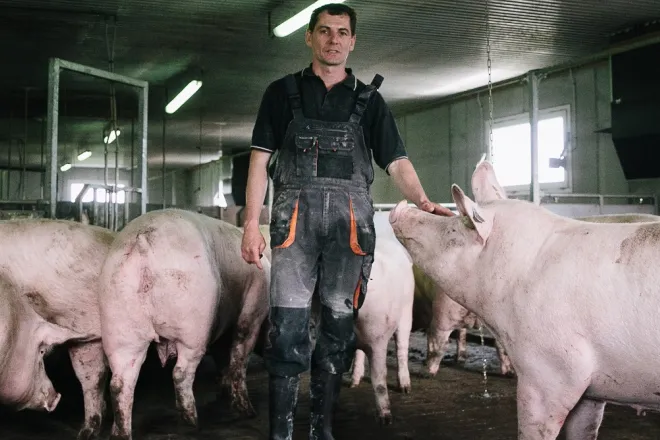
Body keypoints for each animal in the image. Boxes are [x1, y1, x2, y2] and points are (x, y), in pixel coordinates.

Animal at [98, 208, 270, 440]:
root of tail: (142, 242)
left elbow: (223, 358)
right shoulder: (253, 312)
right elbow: (239, 357)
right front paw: (247, 411)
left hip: (118, 322)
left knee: (119, 383)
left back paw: (120, 434)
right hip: (193, 325)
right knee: (181, 372)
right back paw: (192, 423)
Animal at [347, 235, 415, 425]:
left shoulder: (378, 338)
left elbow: (379, 378)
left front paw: (385, 419)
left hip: (407, 311)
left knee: (402, 348)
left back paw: (405, 388)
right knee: (359, 353)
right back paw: (353, 383)